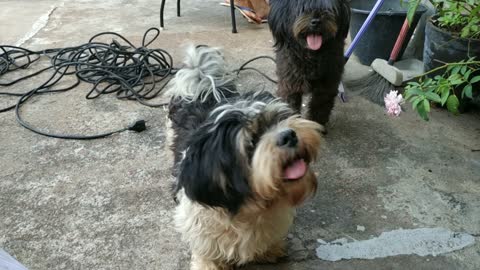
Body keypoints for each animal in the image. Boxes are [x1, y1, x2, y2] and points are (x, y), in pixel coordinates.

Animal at [164, 45, 322, 268]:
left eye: (279, 120)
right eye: (252, 142)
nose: (289, 135)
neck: (251, 209)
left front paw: (270, 250)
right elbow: (206, 253)